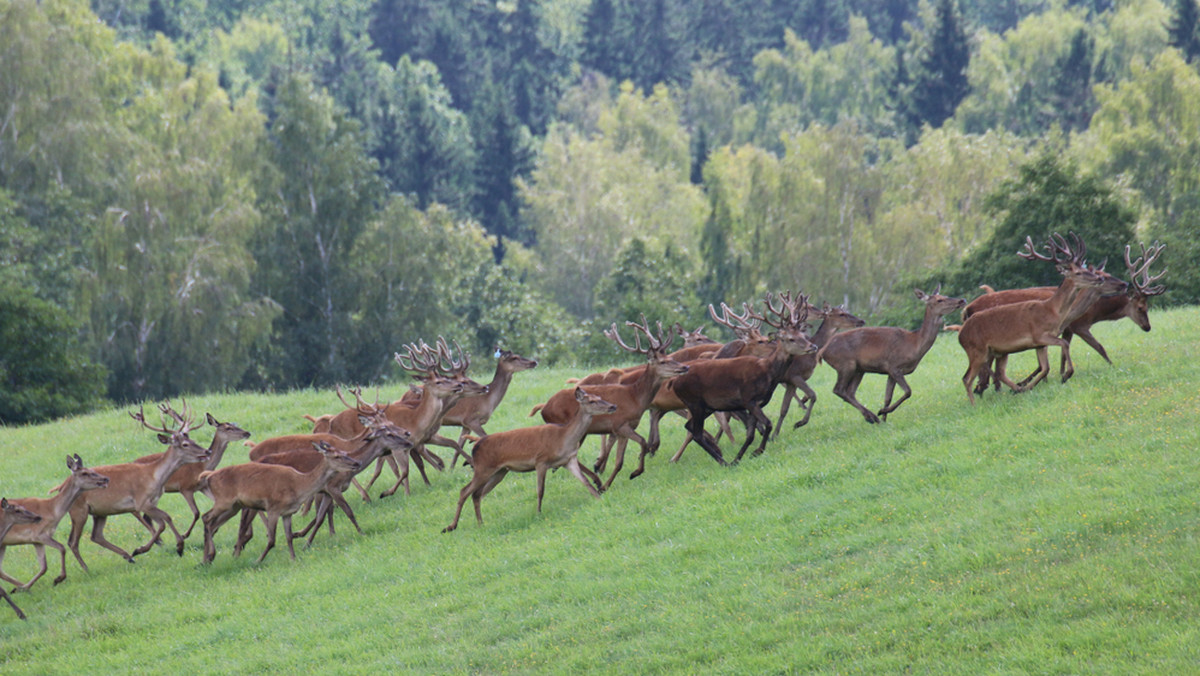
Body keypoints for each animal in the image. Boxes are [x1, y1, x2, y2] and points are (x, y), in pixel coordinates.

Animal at [0, 453, 109, 593]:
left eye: (91, 469)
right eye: (85, 473)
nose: (106, 479)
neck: (52, 511)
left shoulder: (36, 540)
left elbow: (44, 567)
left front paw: (27, 587)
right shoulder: (38, 533)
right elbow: (62, 548)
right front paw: (59, 578)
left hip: (3, 544)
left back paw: (20, 586)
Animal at [64, 401, 210, 566]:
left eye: (193, 441)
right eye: (185, 444)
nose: (207, 451)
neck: (154, 477)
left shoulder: (152, 501)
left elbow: (164, 520)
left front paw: (177, 546)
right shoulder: (141, 502)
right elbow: (165, 520)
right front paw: (147, 548)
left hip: (99, 512)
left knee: (96, 536)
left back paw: (128, 556)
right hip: (78, 510)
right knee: (73, 542)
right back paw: (88, 567)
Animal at [133, 410, 250, 542]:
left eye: (233, 424)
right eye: (228, 428)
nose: (247, 433)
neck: (201, 467)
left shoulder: (202, 487)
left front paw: (214, 529)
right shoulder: (185, 488)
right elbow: (196, 513)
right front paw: (185, 535)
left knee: (146, 515)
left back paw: (158, 539)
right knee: (138, 512)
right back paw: (158, 539)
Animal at [441, 386, 619, 535]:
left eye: (600, 396)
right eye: (592, 401)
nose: (613, 406)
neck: (563, 438)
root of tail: (476, 444)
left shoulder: (569, 460)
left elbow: (585, 481)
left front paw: (599, 498)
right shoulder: (541, 461)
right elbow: (540, 490)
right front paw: (538, 513)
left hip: (499, 472)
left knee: (477, 494)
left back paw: (480, 523)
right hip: (483, 468)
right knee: (464, 491)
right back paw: (450, 526)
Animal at [820, 285, 969, 422]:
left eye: (945, 295)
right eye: (939, 300)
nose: (962, 300)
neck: (914, 344)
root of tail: (822, 352)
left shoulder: (889, 372)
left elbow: (888, 397)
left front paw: (884, 418)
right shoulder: (894, 365)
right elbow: (908, 391)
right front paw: (882, 412)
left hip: (859, 369)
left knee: (850, 392)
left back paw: (872, 417)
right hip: (845, 364)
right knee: (838, 389)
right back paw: (872, 416)